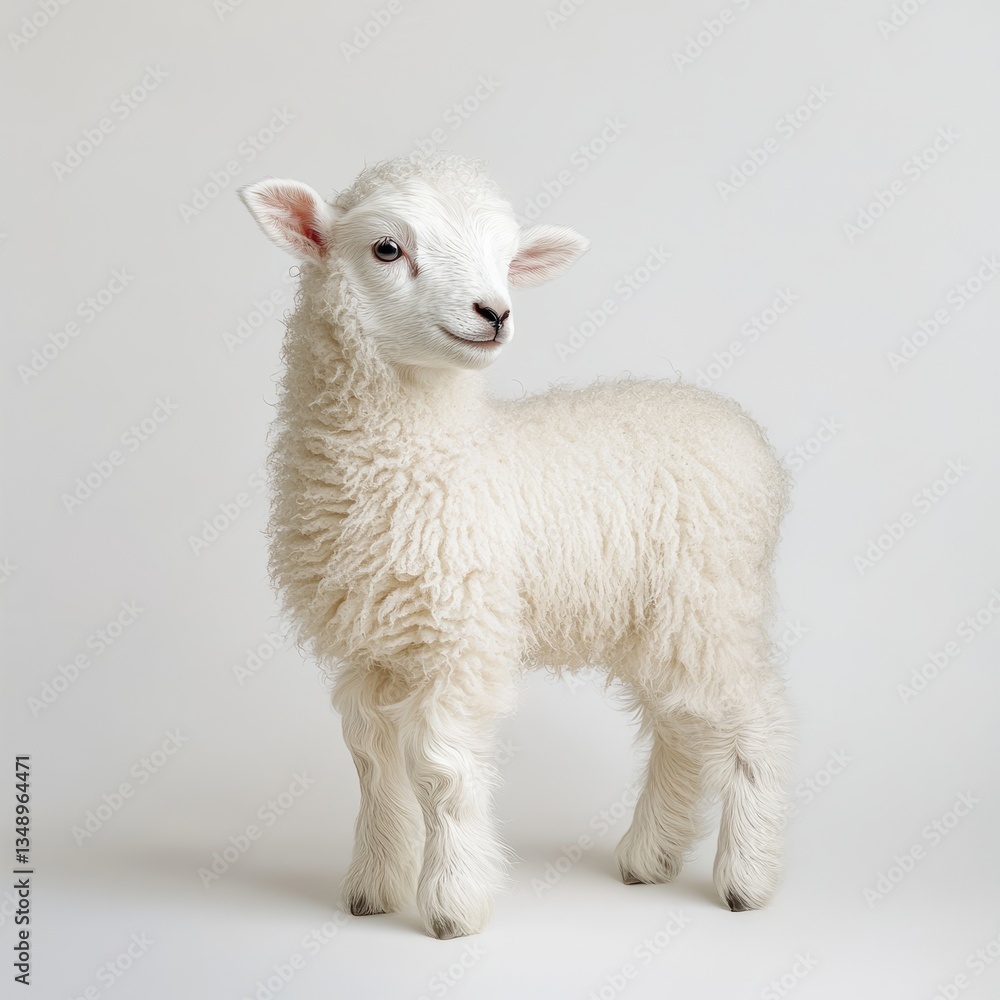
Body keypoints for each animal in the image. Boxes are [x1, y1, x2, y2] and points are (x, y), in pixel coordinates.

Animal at [238, 152, 795, 940]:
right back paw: (649, 856)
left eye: (506, 261)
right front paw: (374, 887)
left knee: (755, 719)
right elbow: (372, 763)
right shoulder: (373, 646)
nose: (495, 313)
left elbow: (439, 770)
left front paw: (453, 905)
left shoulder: (461, 635)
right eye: (386, 248)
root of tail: (741, 428)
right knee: (680, 726)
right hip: (655, 618)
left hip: (713, 601)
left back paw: (745, 877)